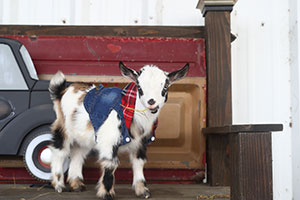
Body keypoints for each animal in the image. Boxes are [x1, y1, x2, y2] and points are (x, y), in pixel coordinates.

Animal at [48, 62, 190, 198]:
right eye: (139, 87)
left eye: (165, 87)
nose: (151, 102)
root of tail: (63, 90)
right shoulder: (109, 140)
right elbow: (111, 164)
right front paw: (106, 193)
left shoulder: (140, 143)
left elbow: (139, 163)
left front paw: (142, 191)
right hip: (63, 128)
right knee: (59, 152)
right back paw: (59, 185)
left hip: (83, 135)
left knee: (77, 154)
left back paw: (77, 185)